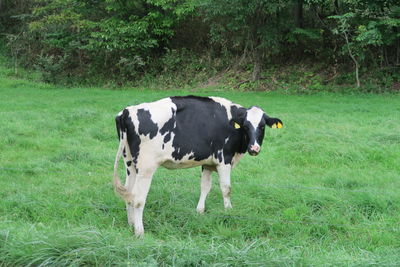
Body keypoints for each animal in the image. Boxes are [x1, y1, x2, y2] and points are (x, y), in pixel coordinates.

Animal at [111, 96, 282, 237]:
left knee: (128, 194)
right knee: (138, 199)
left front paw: (200, 211)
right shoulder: (224, 159)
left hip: (130, 164)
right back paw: (139, 232)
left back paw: (131, 224)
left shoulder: (207, 163)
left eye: (262, 126)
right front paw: (229, 211)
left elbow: (205, 187)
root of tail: (127, 111)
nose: (254, 148)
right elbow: (226, 188)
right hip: (146, 167)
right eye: (246, 126)